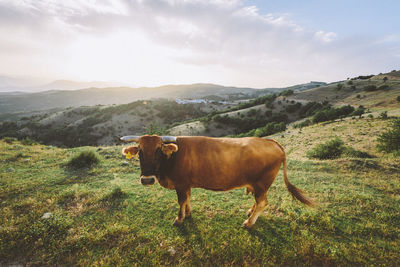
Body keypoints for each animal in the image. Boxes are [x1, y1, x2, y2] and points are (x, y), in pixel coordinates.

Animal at [120, 135, 314, 229]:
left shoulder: (181, 184)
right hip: (259, 185)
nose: (147, 179)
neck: (173, 157)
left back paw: (249, 223)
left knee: (263, 203)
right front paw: (188, 214)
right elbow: (188, 199)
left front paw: (179, 219)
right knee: (259, 201)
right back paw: (249, 213)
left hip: (262, 183)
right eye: (140, 151)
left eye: (158, 150)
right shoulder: (186, 184)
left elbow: (181, 201)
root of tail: (272, 142)